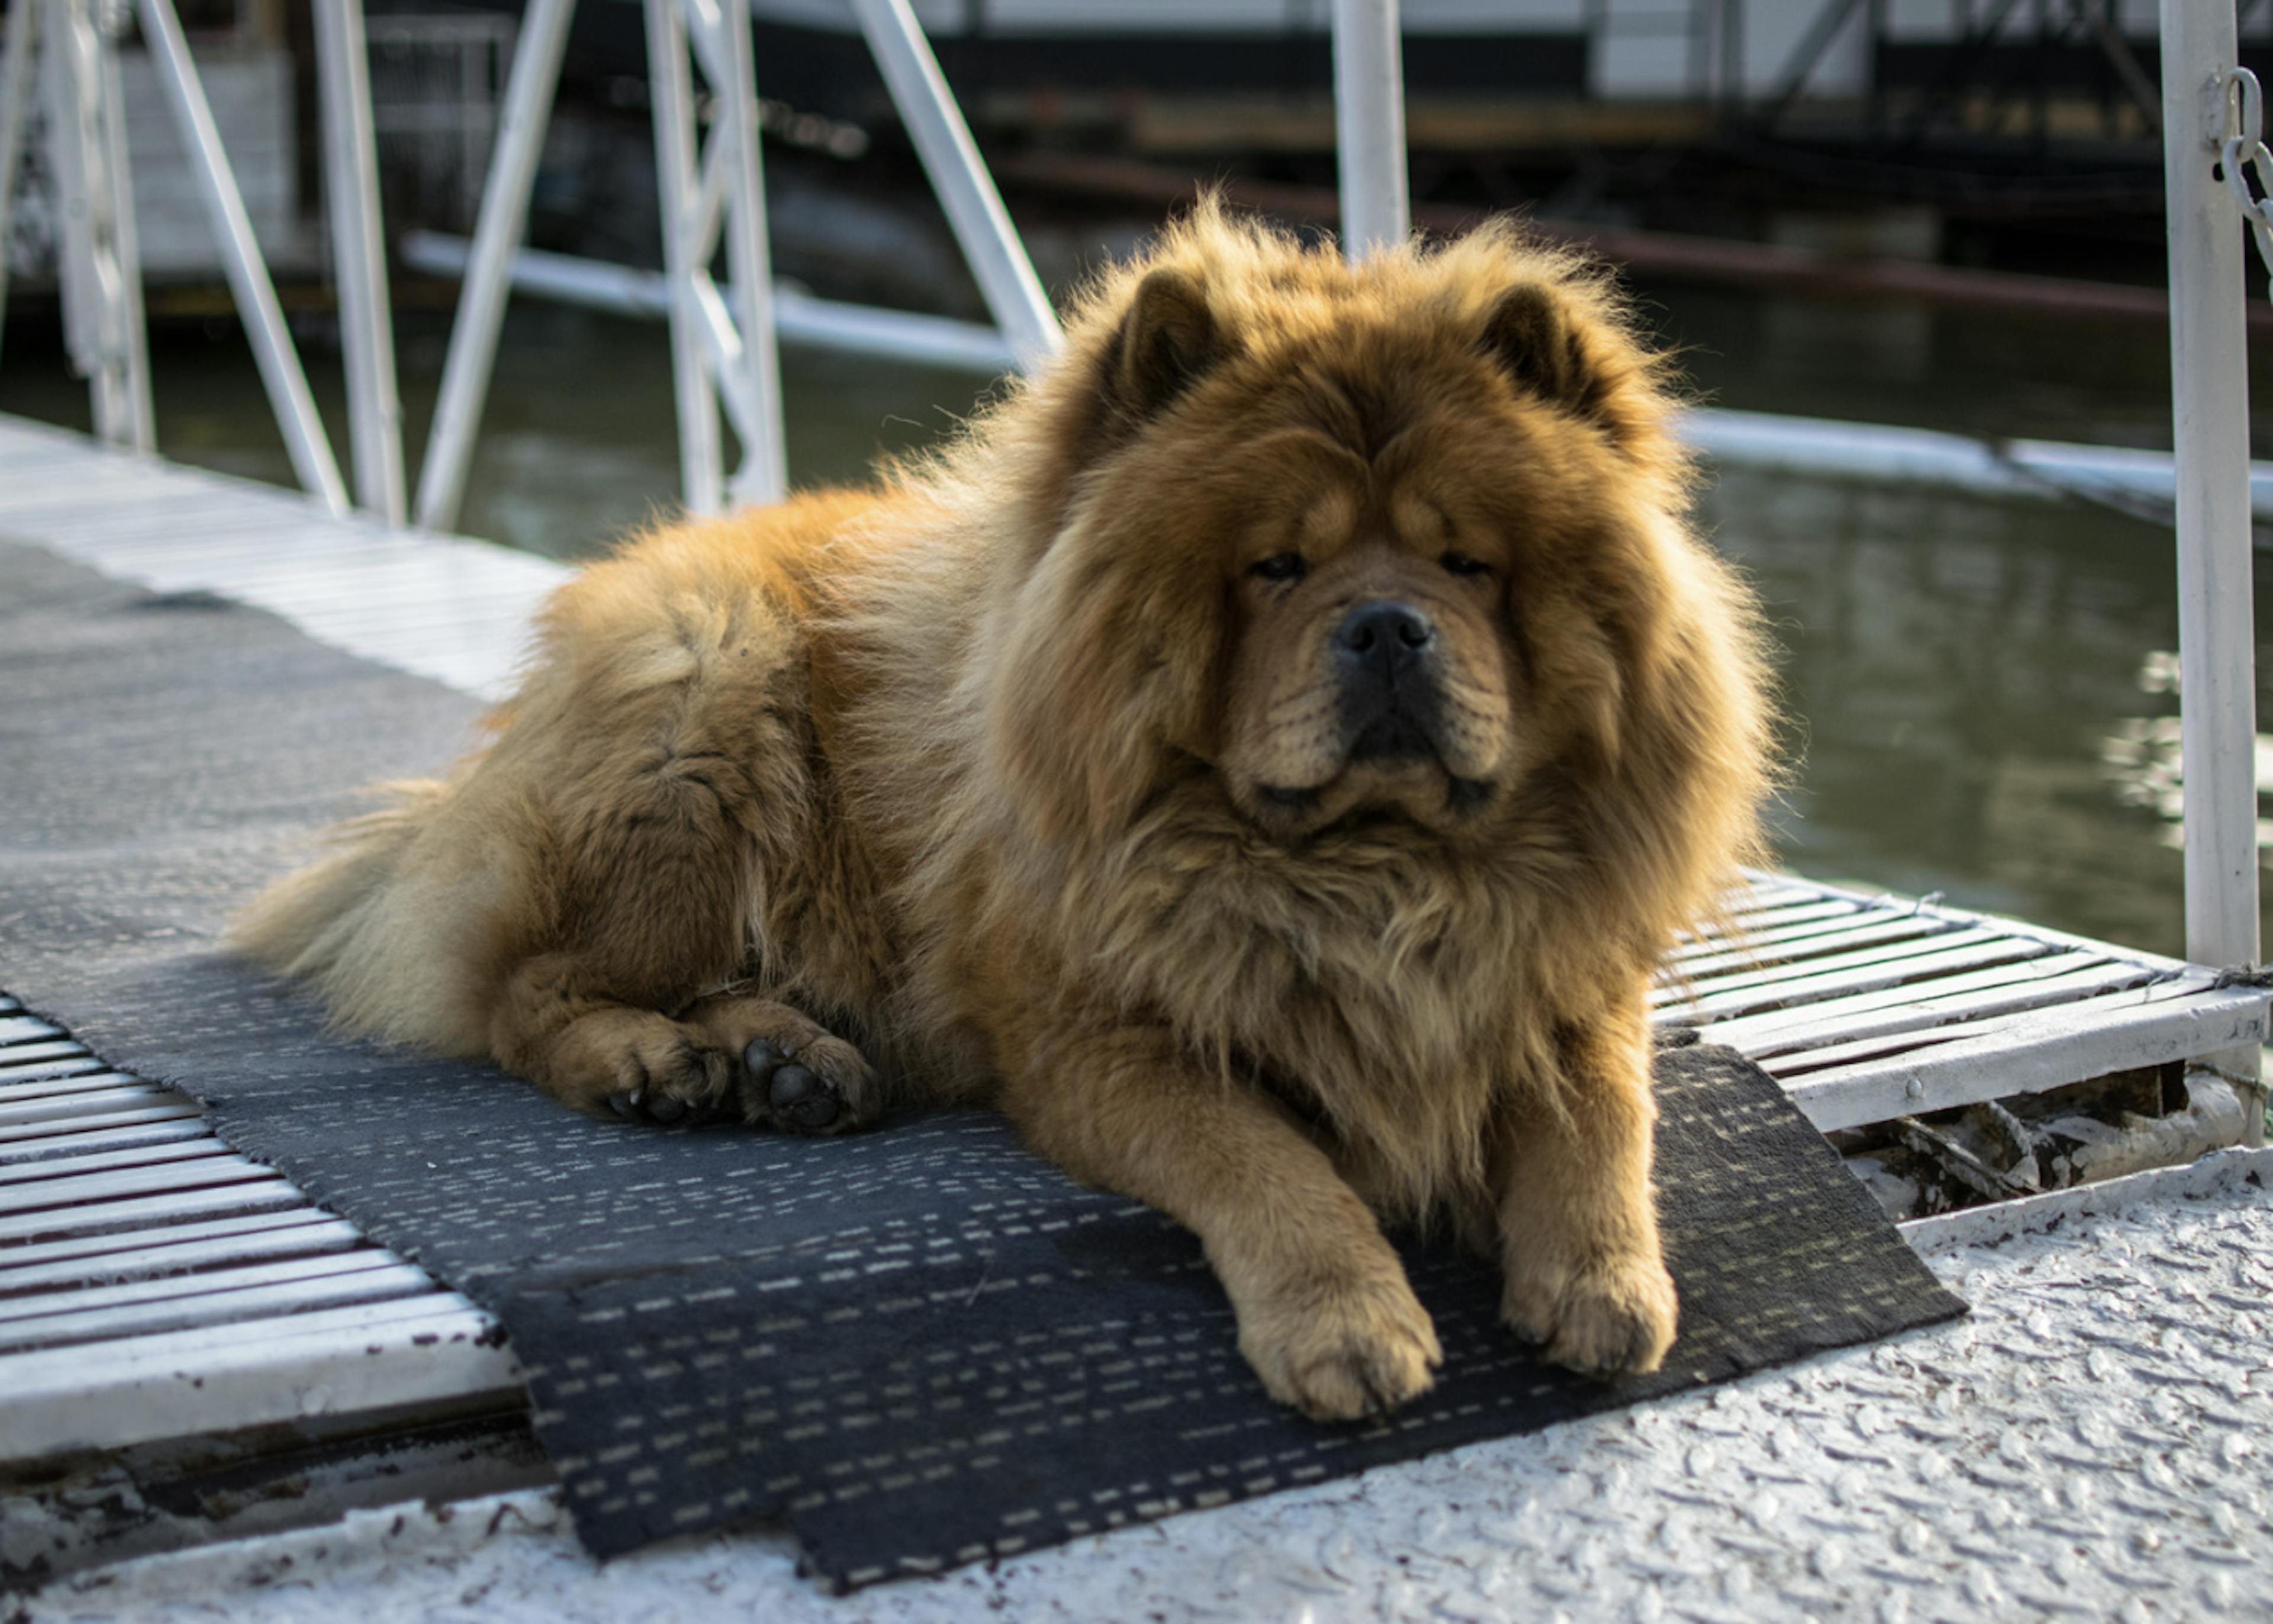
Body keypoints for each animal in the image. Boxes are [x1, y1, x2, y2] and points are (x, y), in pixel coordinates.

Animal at [244, 207, 1773, 1426]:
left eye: (1468, 565)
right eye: (1274, 568)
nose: (1389, 627)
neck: (1368, 875)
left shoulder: (1562, 979)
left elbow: (1601, 1116)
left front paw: (1607, 1281)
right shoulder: (1095, 1038)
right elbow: (1267, 1157)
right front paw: (1347, 1323)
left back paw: (785, 1066)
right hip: (706, 711)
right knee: (532, 982)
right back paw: (647, 1059)